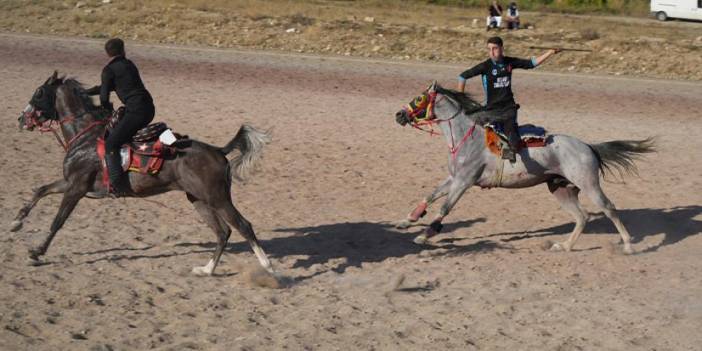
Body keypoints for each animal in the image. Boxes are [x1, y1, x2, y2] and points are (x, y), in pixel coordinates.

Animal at [14, 71, 276, 276]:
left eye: (39, 92)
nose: (21, 119)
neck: (85, 136)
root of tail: (218, 150)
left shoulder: (76, 188)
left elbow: (58, 221)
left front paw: (36, 252)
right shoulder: (70, 182)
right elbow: (41, 190)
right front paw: (17, 221)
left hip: (218, 198)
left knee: (243, 226)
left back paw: (269, 268)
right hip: (198, 199)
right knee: (223, 232)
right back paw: (206, 269)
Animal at [394, 81, 656, 254]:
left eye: (418, 98)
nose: (398, 115)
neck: (467, 138)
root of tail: (589, 147)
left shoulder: (464, 181)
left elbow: (445, 207)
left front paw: (424, 235)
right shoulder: (453, 178)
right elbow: (431, 195)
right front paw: (408, 220)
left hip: (589, 184)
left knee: (609, 209)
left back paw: (628, 246)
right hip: (561, 189)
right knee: (582, 217)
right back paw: (563, 246)